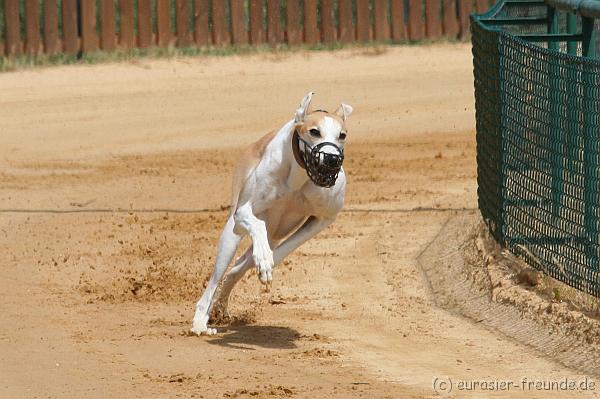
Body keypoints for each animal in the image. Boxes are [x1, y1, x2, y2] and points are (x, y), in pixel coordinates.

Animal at [192, 93, 352, 334]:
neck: (299, 175)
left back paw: (221, 306)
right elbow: (255, 226)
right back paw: (201, 321)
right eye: (314, 131)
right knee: (216, 277)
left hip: (275, 232)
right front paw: (265, 260)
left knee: (237, 268)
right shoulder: (243, 213)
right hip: (232, 232)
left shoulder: (323, 219)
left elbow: (284, 250)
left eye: (342, 135)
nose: (332, 160)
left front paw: (267, 264)